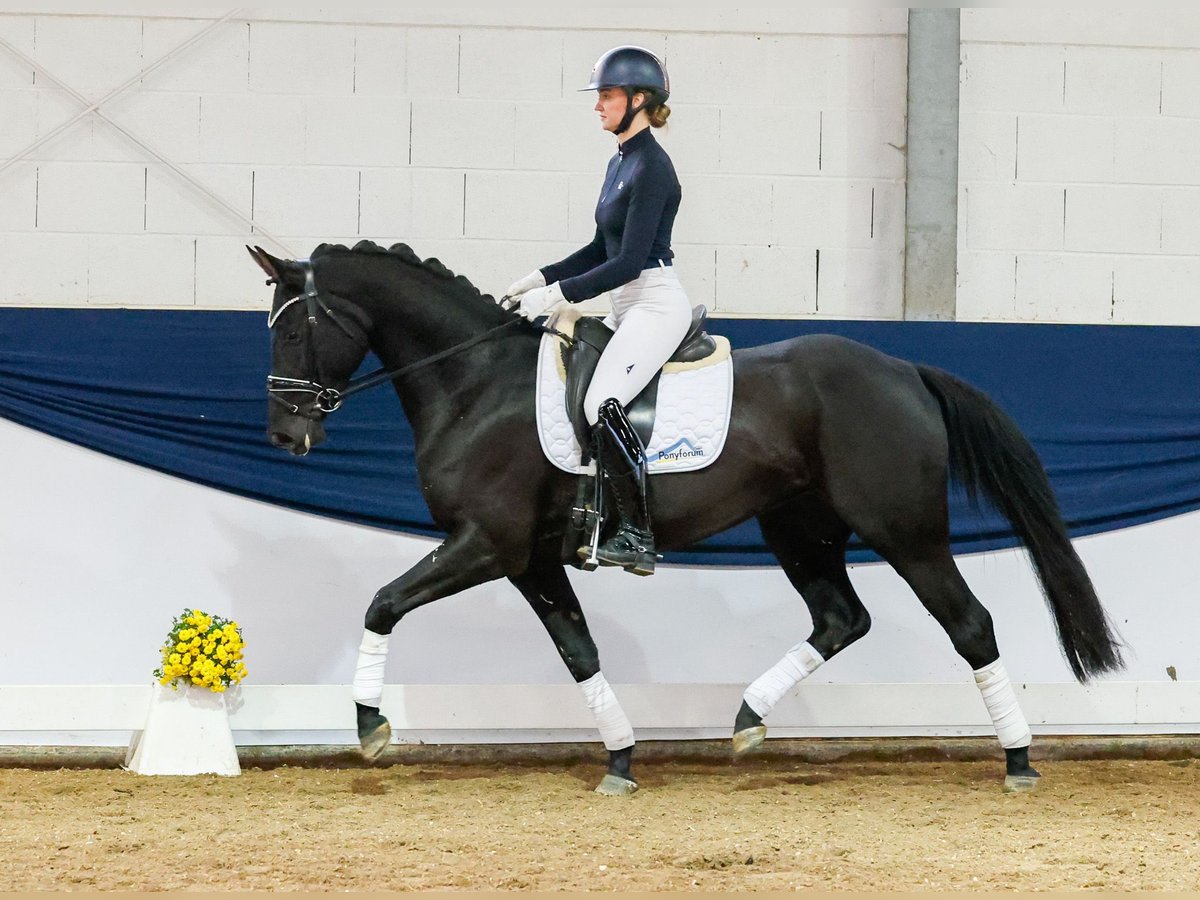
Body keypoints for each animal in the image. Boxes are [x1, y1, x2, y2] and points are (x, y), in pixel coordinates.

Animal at [250, 241, 1123, 796]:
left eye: (295, 327)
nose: (287, 436)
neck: (476, 382)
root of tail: (903, 367)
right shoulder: (530, 559)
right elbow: (579, 652)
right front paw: (620, 760)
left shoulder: (485, 544)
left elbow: (382, 604)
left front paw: (368, 725)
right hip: (798, 529)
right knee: (842, 618)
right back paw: (746, 718)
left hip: (905, 532)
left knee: (969, 624)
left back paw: (1018, 761)